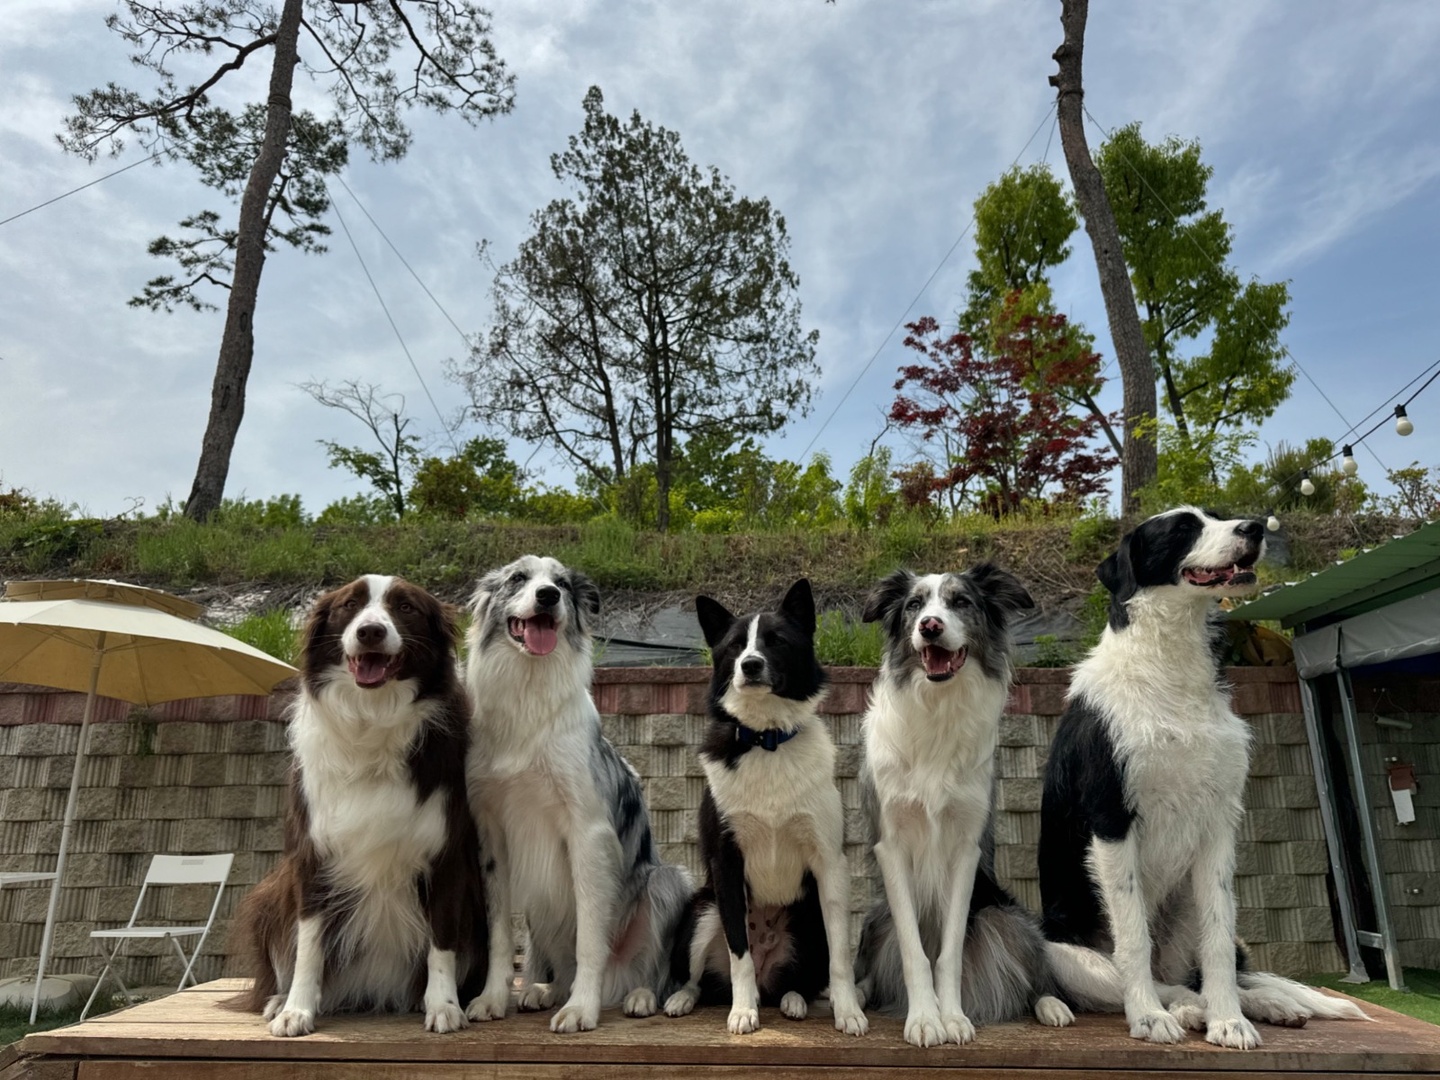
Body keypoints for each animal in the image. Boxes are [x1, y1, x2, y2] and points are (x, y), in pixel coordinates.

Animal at [233, 576, 486, 1042]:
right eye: (349, 606)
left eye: (405, 607)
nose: (370, 632)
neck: (373, 721)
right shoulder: (312, 856)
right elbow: (309, 944)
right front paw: (296, 1009)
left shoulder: (447, 858)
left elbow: (441, 943)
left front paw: (443, 1005)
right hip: (270, 894)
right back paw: (278, 999)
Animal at [457, 558, 688, 1031]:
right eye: (518, 579)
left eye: (562, 584)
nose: (548, 596)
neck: (529, 690)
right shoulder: (491, 836)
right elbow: (499, 935)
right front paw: (492, 999)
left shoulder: (588, 832)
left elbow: (590, 935)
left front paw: (582, 1008)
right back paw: (544, 990)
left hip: (668, 880)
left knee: (654, 969)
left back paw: (638, 996)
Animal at [662, 584, 864, 1042]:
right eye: (735, 645)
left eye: (776, 641)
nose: (750, 664)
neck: (767, 739)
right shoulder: (726, 864)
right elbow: (740, 954)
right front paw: (742, 1011)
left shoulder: (830, 863)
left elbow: (841, 957)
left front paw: (849, 1012)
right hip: (704, 910)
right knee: (699, 980)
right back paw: (685, 999)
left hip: (808, 918)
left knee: (800, 980)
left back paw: (792, 1000)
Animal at [852, 567, 1071, 1048]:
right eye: (914, 605)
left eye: (961, 602)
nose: (930, 626)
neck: (937, 710)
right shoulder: (891, 845)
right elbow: (915, 953)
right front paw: (923, 1018)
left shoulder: (966, 849)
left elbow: (947, 953)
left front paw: (950, 1017)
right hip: (876, 918)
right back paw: (854, 996)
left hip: (1008, 916)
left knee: (1035, 968)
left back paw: (1051, 1004)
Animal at [1042, 512, 1365, 1054]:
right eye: (1181, 529)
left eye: (1215, 514)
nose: (1254, 527)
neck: (1171, 671)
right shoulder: (1111, 819)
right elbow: (1133, 939)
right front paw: (1148, 1018)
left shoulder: (1219, 824)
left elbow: (1218, 943)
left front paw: (1230, 1020)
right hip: (1064, 953)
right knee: (1155, 980)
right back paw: (1184, 1010)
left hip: (1186, 907)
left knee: (1202, 973)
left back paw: (1264, 1005)